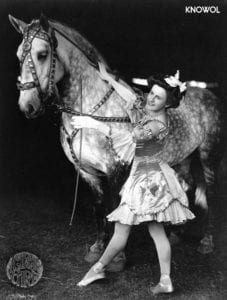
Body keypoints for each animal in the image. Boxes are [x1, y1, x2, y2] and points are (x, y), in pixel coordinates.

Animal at [9, 15, 222, 264]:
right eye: (18, 55)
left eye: (42, 54)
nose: (27, 106)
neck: (91, 110)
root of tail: (207, 94)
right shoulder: (88, 173)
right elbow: (99, 208)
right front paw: (98, 247)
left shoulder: (116, 170)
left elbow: (115, 211)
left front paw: (117, 256)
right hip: (182, 158)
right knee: (186, 185)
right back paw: (177, 233)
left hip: (209, 156)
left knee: (211, 193)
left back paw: (206, 241)